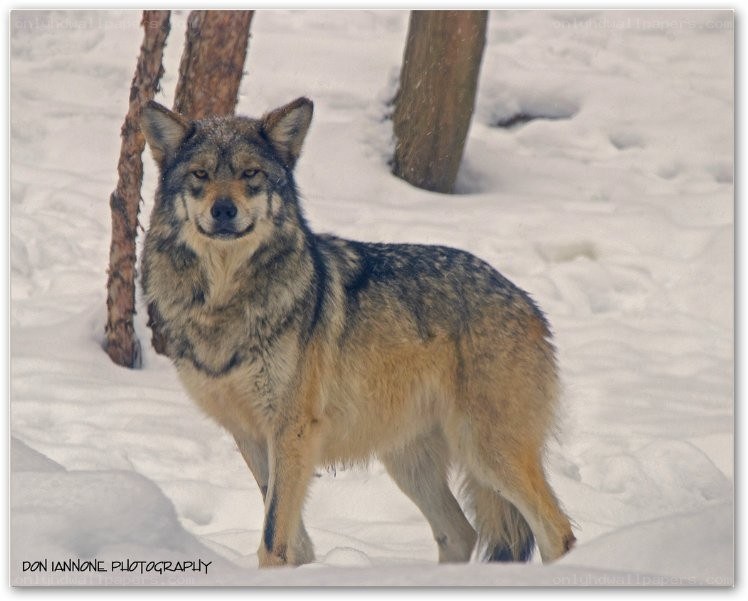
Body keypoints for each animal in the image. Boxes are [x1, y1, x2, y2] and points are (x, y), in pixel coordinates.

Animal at [140, 97, 575, 568]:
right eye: (200, 174)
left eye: (250, 173)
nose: (223, 210)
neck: (223, 302)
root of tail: (526, 301)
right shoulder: (251, 436)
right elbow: (291, 536)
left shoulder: (292, 430)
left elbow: (274, 536)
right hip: (411, 462)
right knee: (460, 532)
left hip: (487, 451)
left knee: (557, 533)